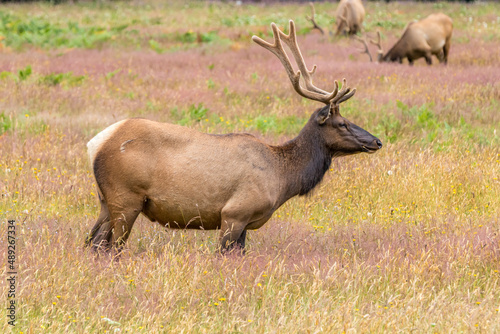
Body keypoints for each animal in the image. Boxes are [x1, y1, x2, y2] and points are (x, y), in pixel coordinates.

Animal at [85, 20, 382, 254]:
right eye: (342, 123)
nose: (377, 141)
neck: (282, 177)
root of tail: (95, 144)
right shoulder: (234, 213)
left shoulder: (246, 222)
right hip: (126, 198)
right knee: (110, 247)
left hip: (105, 201)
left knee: (92, 242)